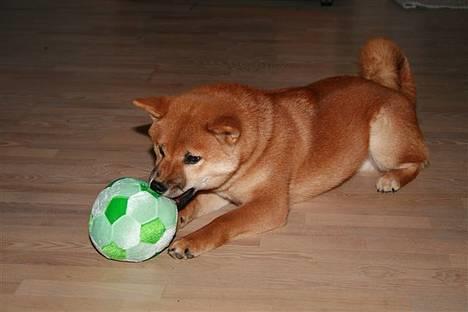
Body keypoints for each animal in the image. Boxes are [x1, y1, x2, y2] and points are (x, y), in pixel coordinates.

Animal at [133, 37, 430, 260]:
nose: (156, 186)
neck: (256, 150)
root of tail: (398, 93)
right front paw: (177, 219)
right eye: (160, 150)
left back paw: (392, 179)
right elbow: (193, 204)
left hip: (383, 140)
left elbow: (223, 222)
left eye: (192, 158)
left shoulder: (270, 204)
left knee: (419, 161)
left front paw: (190, 241)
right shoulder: (220, 192)